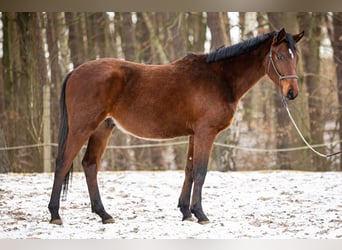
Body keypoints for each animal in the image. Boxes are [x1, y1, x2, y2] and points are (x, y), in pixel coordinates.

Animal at [48, 27, 304, 225]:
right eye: (279, 57)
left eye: (296, 57)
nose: (292, 93)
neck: (219, 78)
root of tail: (74, 71)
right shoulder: (205, 132)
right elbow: (200, 171)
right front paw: (201, 214)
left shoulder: (194, 134)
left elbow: (189, 170)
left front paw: (186, 211)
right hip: (82, 127)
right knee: (63, 162)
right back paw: (55, 214)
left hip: (103, 128)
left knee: (90, 165)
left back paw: (104, 214)